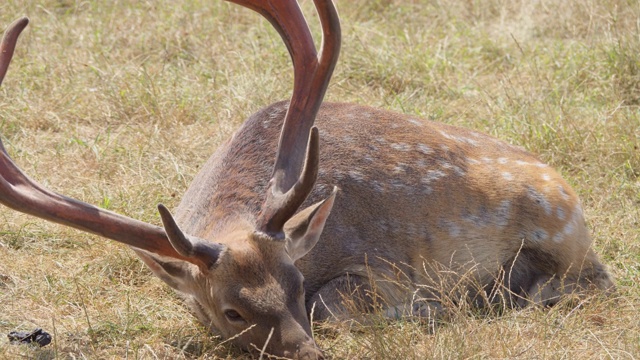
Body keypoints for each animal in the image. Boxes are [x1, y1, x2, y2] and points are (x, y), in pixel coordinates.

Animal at [0, 1, 616, 358]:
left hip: (563, 235)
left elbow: (333, 307)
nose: (307, 353)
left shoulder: (382, 269)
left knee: (584, 284)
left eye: (295, 283)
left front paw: (427, 309)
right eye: (232, 311)